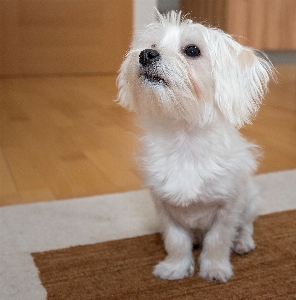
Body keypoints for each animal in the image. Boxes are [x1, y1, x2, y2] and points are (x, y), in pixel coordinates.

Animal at [117, 9, 274, 282]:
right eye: (153, 45)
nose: (146, 54)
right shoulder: (164, 207)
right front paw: (175, 268)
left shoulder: (227, 207)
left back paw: (243, 243)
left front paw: (215, 269)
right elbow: (176, 241)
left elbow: (218, 240)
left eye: (192, 50)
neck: (185, 139)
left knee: (246, 225)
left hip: (251, 200)